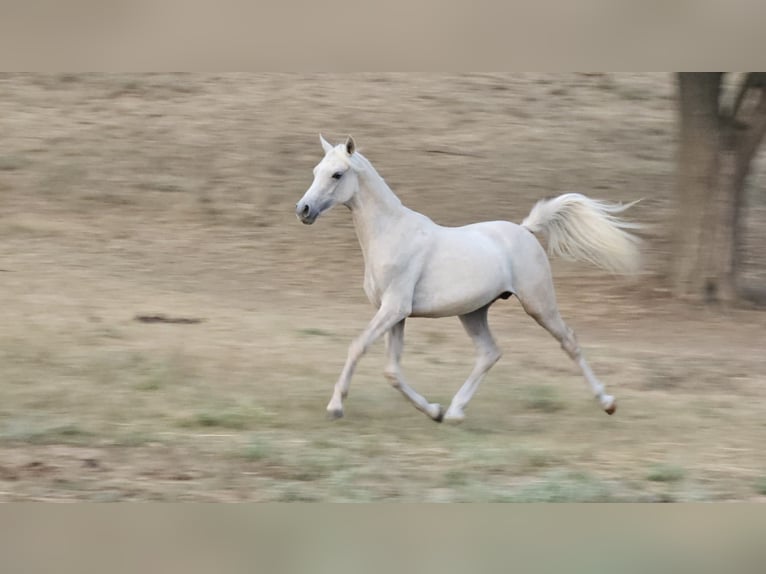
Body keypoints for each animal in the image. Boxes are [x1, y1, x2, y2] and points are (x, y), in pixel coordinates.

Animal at [294, 135, 640, 424]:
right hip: (473, 312)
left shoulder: (394, 309)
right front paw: (434, 411)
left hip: (538, 303)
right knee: (490, 352)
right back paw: (455, 412)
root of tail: (525, 230)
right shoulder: (395, 314)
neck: (391, 234)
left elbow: (357, 347)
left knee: (569, 341)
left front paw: (335, 407)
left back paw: (607, 402)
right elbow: (392, 370)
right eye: (316, 170)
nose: (303, 209)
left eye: (337, 174)